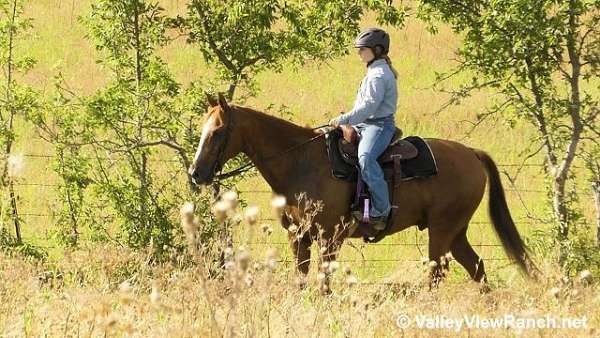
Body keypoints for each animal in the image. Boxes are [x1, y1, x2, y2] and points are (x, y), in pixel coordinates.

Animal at [190, 93, 536, 290]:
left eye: (218, 131)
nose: (195, 173)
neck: (301, 163)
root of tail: (472, 154)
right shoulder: (297, 237)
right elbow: (301, 281)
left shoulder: (329, 237)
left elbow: (324, 284)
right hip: (456, 232)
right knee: (477, 268)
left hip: (441, 230)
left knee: (438, 274)